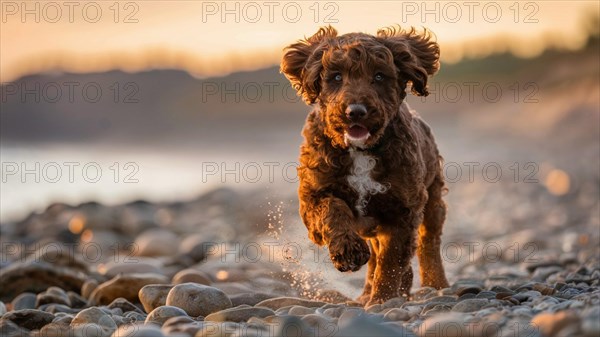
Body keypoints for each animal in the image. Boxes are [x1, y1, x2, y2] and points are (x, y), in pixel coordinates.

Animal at [282, 26, 450, 304]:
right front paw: (348, 251)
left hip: (433, 200)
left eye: (380, 76)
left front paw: (383, 300)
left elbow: (391, 261)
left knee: (429, 242)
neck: (359, 151)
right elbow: (333, 208)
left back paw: (435, 285)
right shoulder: (312, 196)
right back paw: (366, 294)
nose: (356, 111)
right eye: (336, 77)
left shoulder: (404, 208)